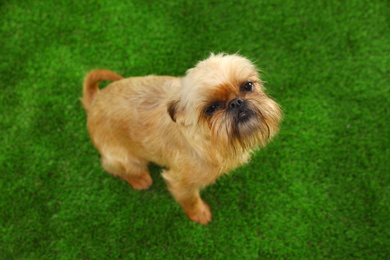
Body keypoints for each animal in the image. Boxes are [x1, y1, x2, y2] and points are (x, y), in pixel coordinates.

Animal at [83, 52, 284, 223]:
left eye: (248, 86)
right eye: (211, 108)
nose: (236, 102)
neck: (211, 141)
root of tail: (94, 102)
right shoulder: (180, 183)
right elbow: (190, 200)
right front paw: (199, 214)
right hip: (125, 159)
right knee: (112, 166)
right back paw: (139, 179)